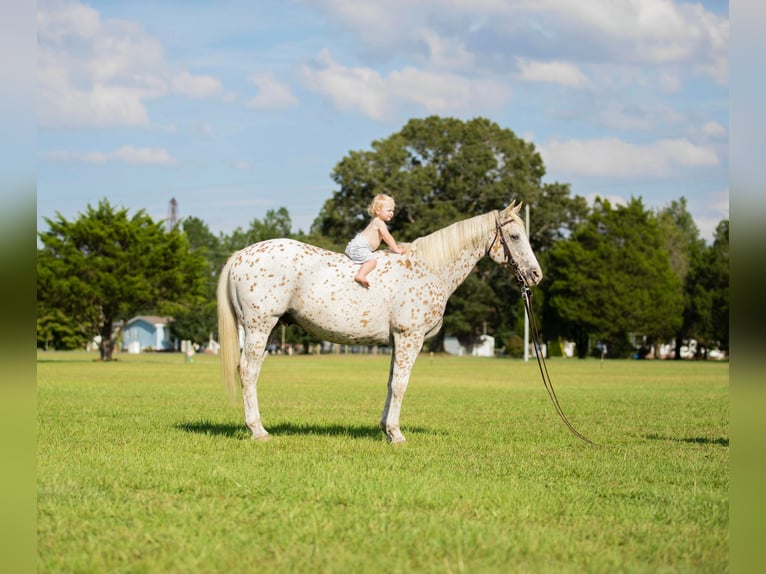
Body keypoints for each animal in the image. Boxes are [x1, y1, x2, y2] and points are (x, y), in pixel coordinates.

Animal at [216, 202, 544, 446]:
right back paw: (258, 430)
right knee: (248, 373)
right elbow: (401, 384)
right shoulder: (410, 337)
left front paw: (386, 429)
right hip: (259, 328)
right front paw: (397, 434)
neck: (429, 268)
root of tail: (240, 255)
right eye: (515, 236)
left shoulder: (397, 341)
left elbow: (390, 383)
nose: (535, 275)